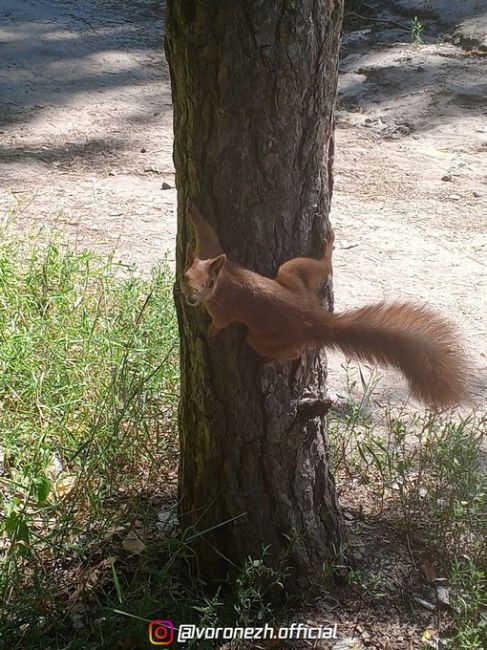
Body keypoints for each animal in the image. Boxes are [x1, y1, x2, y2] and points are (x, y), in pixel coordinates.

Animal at [182, 204, 472, 404]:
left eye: (209, 284)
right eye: (185, 277)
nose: (191, 299)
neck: (223, 281)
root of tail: (313, 318)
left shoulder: (224, 310)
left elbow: (220, 323)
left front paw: (208, 331)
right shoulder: (209, 251)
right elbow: (208, 232)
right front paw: (194, 210)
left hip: (264, 334)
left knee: (292, 351)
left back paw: (266, 360)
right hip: (292, 275)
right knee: (323, 268)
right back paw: (328, 248)